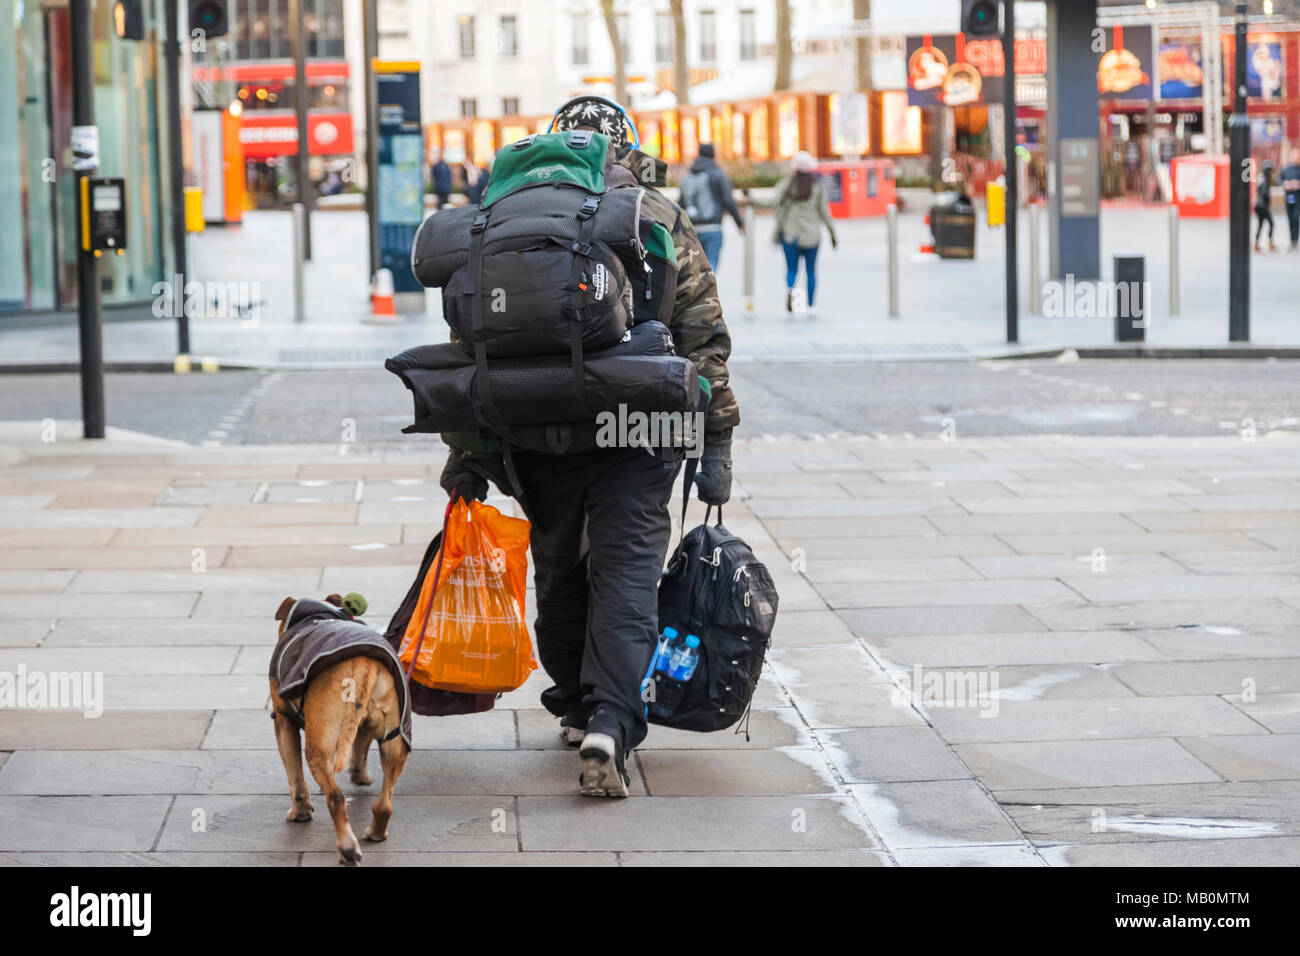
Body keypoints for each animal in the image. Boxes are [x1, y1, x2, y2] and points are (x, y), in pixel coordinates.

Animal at [265, 595, 403, 863]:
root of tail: (363, 667)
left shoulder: (284, 722)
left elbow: (294, 774)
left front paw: (300, 812)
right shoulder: (360, 729)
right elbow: (359, 748)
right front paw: (360, 776)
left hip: (318, 744)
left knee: (336, 797)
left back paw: (348, 849)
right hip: (394, 740)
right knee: (385, 802)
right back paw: (376, 833)